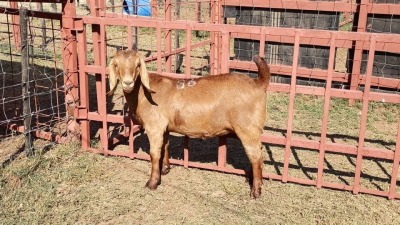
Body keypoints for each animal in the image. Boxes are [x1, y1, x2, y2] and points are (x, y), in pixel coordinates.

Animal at [108, 50, 272, 198]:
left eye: (137, 65)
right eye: (116, 65)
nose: (127, 83)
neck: (144, 92)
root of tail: (258, 83)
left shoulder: (154, 127)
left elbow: (154, 153)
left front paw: (152, 183)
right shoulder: (164, 127)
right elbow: (165, 146)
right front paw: (165, 169)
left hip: (247, 128)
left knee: (255, 155)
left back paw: (256, 191)